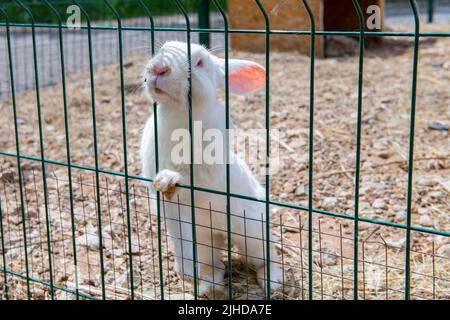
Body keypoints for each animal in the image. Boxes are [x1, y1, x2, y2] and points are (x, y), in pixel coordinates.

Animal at [141, 41, 282, 296]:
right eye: (163, 48)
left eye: (199, 62)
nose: (159, 68)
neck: (177, 114)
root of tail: (223, 234)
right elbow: (178, 235)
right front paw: (184, 272)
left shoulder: (207, 173)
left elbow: (188, 178)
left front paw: (167, 178)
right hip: (206, 240)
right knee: (215, 265)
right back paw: (207, 285)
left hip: (253, 235)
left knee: (266, 257)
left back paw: (273, 282)